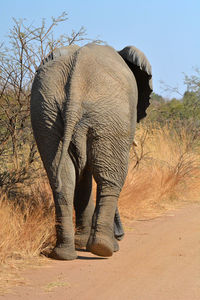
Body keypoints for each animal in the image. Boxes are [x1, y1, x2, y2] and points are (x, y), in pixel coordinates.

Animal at [30, 42, 152, 260]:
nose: (120, 235)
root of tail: (76, 79)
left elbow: (83, 177)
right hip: (109, 114)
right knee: (110, 178)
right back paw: (103, 249)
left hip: (45, 111)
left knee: (63, 181)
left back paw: (64, 254)